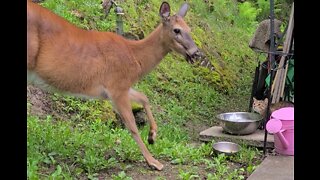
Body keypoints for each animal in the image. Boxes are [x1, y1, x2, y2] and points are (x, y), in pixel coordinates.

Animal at [27, 0, 199, 171]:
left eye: (190, 29)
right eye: (177, 30)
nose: (196, 53)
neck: (135, 57)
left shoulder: (117, 87)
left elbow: (144, 98)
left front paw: (152, 136)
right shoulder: (117, 86)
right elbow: (132, 125)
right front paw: (153, 161)